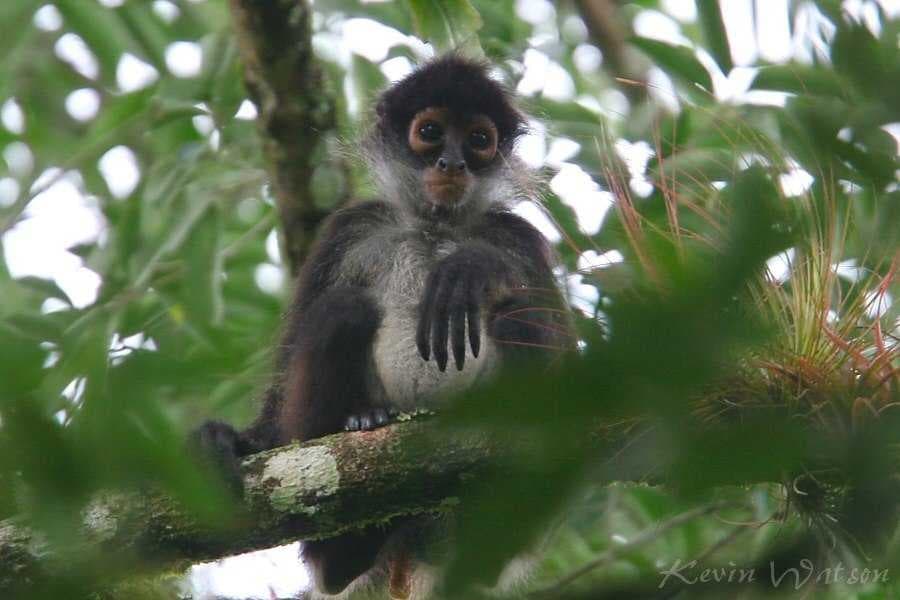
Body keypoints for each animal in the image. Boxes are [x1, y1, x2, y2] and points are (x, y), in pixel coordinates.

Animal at [192, 54, 571, 599]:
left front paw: (473, 264)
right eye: (430, 132)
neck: (436, 225)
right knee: (344, 307)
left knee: (516, 314)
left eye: (479, 140)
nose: (452, 163)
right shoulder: (351, 227)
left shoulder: (518, 237)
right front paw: (240, 440)